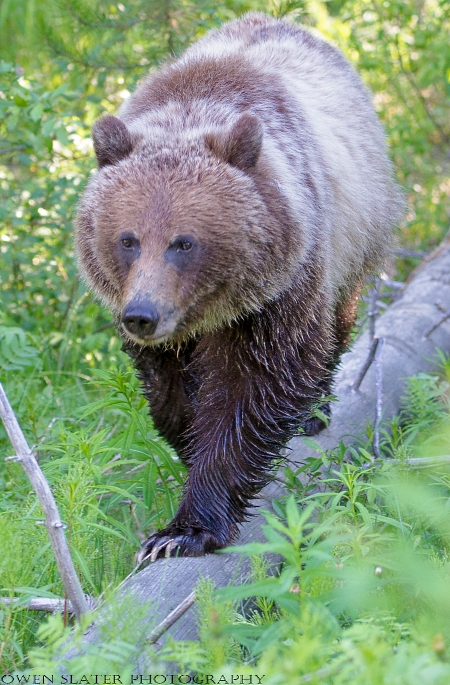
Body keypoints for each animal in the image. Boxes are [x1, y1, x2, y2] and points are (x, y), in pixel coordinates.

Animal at [75, 12, 404, 562]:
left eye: (183, 242)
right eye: (127, 239)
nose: (141, 315)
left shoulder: (277, 292)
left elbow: (254, 391)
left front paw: (182, 531)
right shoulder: (164, 337)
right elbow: (170, 397)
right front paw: (186, 446)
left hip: (356, 233)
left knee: (334, 329)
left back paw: (316, 411)